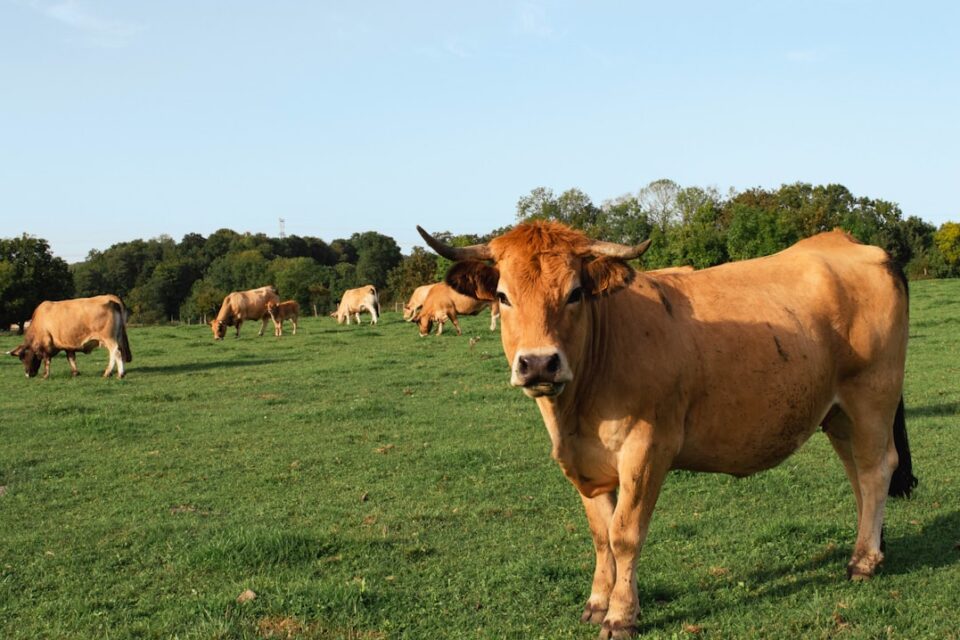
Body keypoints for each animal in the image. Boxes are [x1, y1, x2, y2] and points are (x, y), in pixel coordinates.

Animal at [420, 222, 916, 636]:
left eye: (576, 293)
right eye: (504, 297)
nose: (539, 363)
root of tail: (853, 244)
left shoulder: (648, 448)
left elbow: (624, 534)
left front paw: (621, 615)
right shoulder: (586, 464)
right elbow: (600, 534)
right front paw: (597, 602)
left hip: (872, 395)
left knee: (877, 470)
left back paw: (863, 561)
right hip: (838, 413)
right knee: (858, 474)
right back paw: (872, 547)